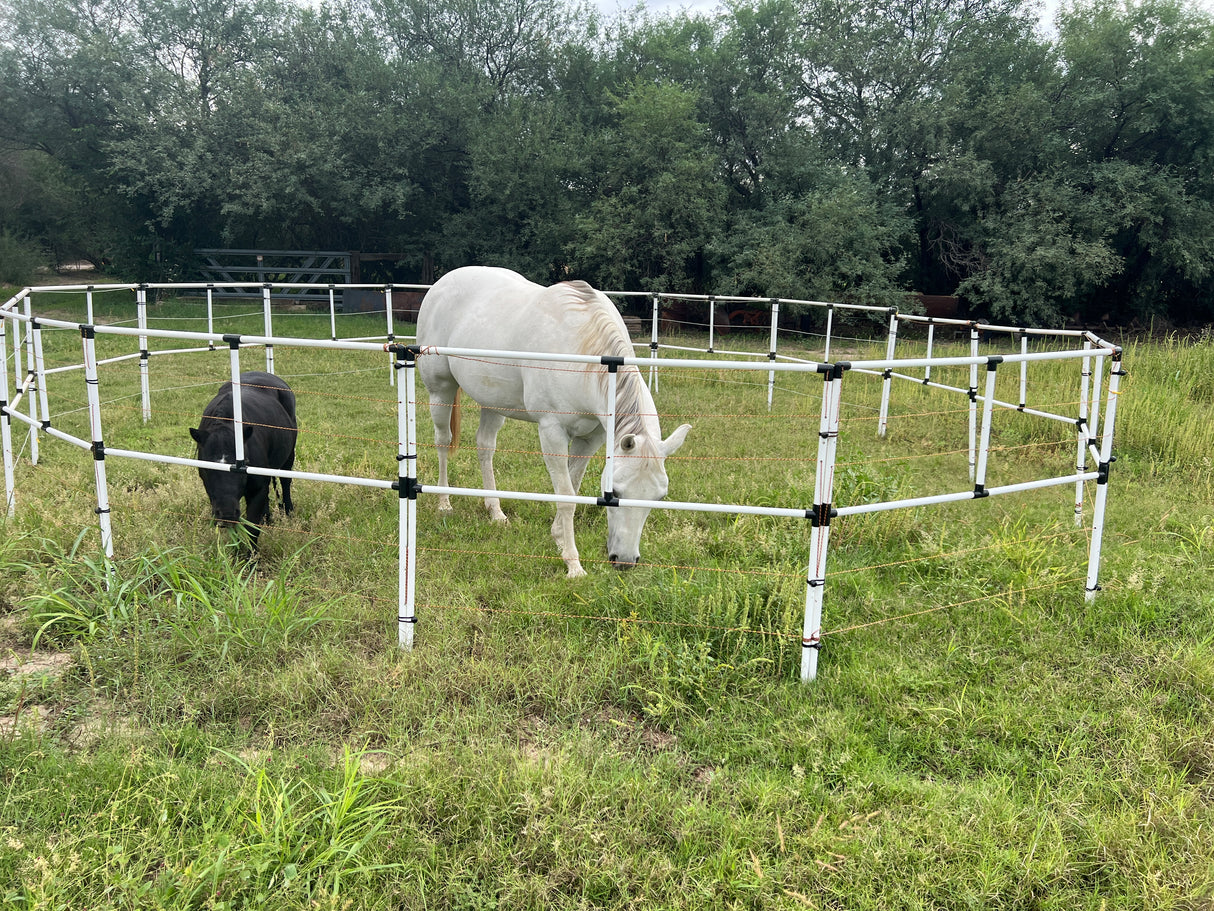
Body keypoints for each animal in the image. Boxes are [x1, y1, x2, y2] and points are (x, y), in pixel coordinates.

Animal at [190, 371, 297, 546]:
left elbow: (252, 529)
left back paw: (288, 512)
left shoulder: (257, 490)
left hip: (289, 455)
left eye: (244, 463)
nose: (226, 514)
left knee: (285, 481)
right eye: (207, 468)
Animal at [416, 266, 691, 578]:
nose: (624, 561)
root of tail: (442, 283)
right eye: (614, 492)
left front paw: (558, 537)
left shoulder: (591, 438)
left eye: (658, 497)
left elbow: (572, 488)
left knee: (485, 447)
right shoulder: (552, 432)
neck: (583, 353)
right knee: (443, 442)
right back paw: (444, 503)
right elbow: (565, 495)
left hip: (493, 403)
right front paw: (573, 564)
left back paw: (495, 511)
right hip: (440, 391)